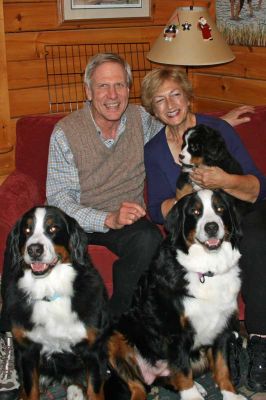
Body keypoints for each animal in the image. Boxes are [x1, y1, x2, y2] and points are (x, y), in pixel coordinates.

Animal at [1, 206, 109, 400]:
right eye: (27, 230)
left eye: (52, 229)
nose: (34, 250)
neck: (49, 291)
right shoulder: (27, 351)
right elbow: (31, 390)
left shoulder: (93, 351)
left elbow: (94, 390)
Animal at [105, 190, 246, 400]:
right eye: (195, 212)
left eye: (220, 208)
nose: (212, 227)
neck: (206, 271)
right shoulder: (174, 331)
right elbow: (182, 369)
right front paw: (192, 396)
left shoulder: (223, 327)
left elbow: (222, 367)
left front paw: (231, 395)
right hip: (114, 337)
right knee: (137, 387)